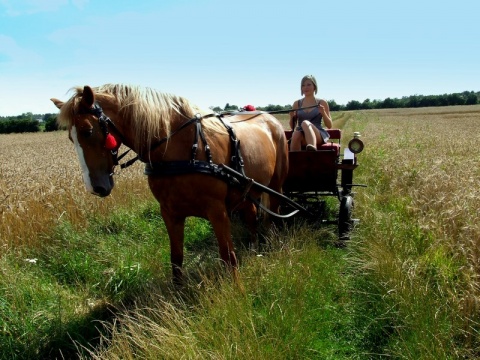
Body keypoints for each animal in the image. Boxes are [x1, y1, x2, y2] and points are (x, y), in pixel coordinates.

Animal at [50, 83, 288, 286]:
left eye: (88, 131)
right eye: (71, 138)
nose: (95, 188)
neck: (179, 148)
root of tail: (270, 118)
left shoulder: (218, 212)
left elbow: (228, 257)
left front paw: (237, 291)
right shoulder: (169, 212)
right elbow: (176, 259)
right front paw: (178, 294)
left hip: (275, 185)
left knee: (273, 214)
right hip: (248, 189)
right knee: (252, 214)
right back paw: (255, 248)